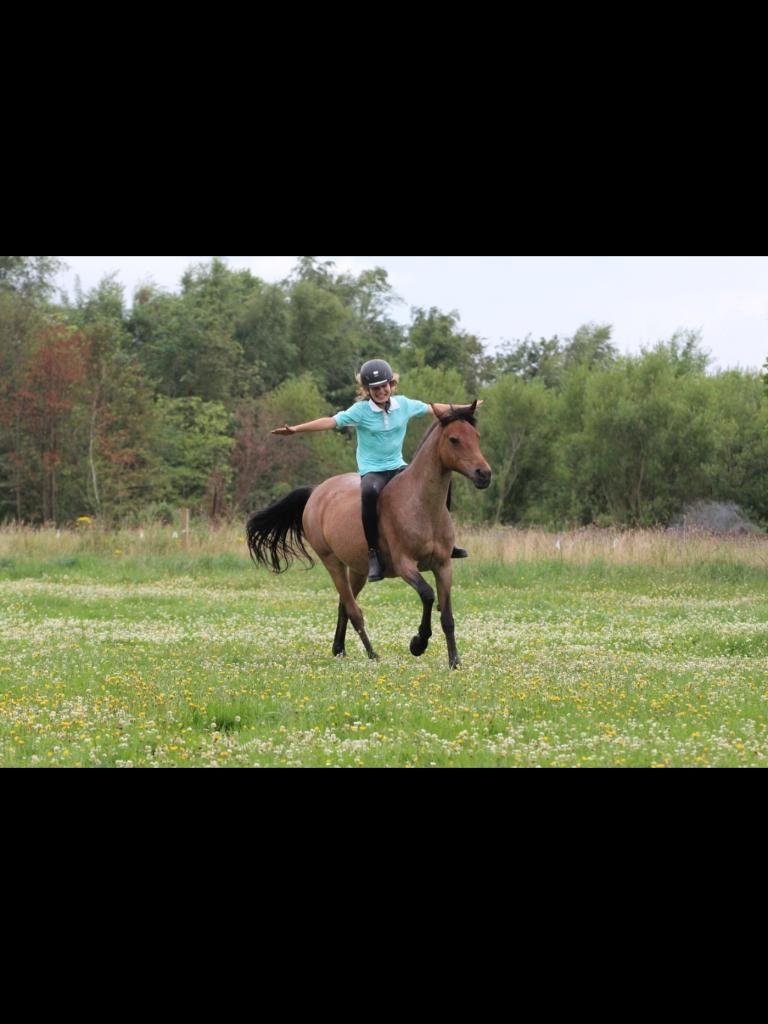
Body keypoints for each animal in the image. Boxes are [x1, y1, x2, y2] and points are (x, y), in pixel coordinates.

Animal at [246, 399, 493, 671]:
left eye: (476, 437)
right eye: (454, 439)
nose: (484, 474)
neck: (422, 506)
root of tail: (317, 492)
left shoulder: (443, 566)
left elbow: (447, 616)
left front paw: (454, 662)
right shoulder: (406, 565)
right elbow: (428, 595)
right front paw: (418, 643)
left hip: (358, 569)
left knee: (344, 605)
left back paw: (339, 649)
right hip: (332, 562)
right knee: (354, 611)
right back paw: (372, 654)